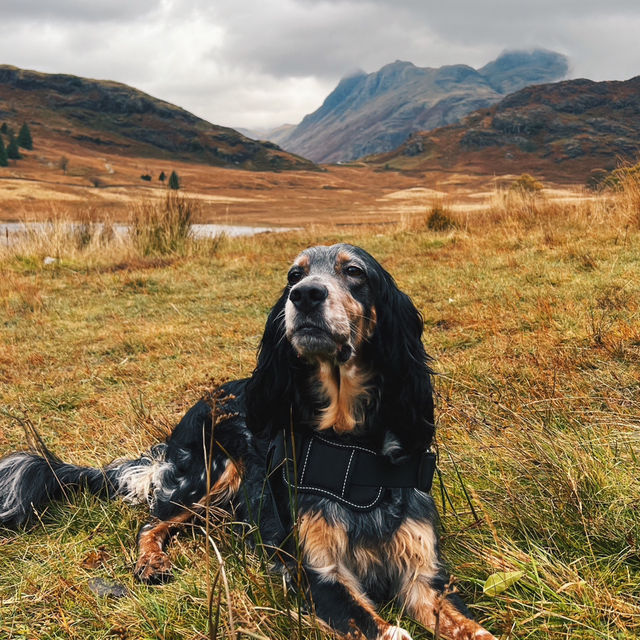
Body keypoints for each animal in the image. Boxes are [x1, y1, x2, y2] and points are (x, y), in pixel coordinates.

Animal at [0, 245, 496, 640]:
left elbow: (472, 628)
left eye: (354, 271)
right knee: (151, 524)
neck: (352, 448)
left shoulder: (424, 576)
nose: (305, 295)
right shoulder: (320, 575)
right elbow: (384, 629)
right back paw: (152, 562)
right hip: (210, 477)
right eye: (293, 275)